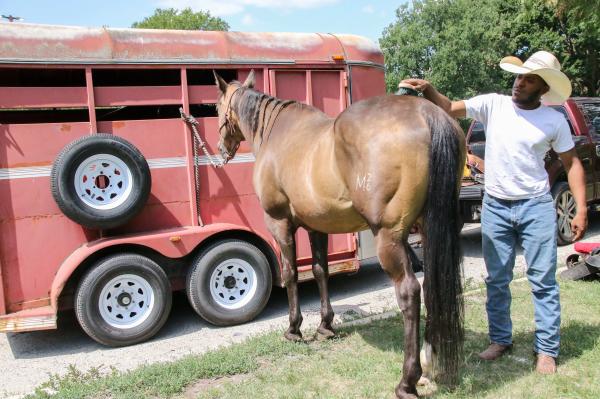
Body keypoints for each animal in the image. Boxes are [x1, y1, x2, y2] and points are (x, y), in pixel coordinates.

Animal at [213, 72, 466, 399]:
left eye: (215, 107)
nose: (220, 149)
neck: (276, 133)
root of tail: (427, 113)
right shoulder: (317, 226)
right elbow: (320, 271)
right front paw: (325, 325)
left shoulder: (280, 224)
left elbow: (290, 273)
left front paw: (294, 329)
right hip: (431, 228)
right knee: (434, 283)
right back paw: (431, 361)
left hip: (390, 238)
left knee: (410, 292)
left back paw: (407, 381)